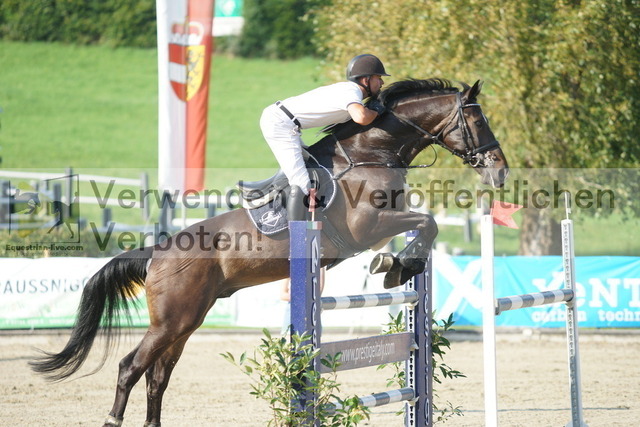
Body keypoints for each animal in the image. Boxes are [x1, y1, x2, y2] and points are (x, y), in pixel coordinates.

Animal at [31, 78, 510, 426]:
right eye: (478, 120)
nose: (500, 172)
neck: (371, 153)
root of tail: (157, 253)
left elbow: (424, 224)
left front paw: (397, 265)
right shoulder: (366, 228)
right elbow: (426, 222)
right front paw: (396, 265)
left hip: (186, 321)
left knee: (158, 376)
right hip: (171, 321)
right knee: (131, 368)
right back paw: (113, 419)